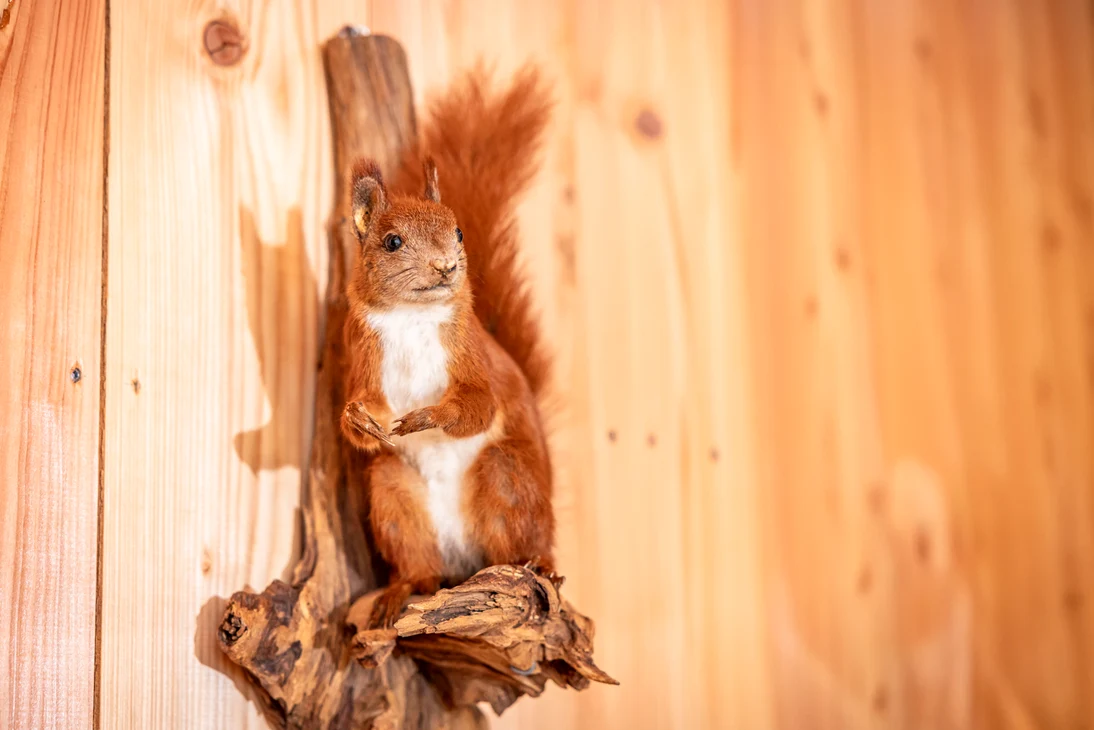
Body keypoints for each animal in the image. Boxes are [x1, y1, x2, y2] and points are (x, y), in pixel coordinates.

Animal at [339, 68, 556, 628]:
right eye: (392, 242)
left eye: (458, 231)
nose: (446, 267)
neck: (412, 317)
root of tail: (464, 563)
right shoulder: (364, 357)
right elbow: (362, 413)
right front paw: (356, 418)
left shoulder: (472, 355)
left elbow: (479, 405)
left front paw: (428, 417)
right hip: (394, 496)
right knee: (420, 566)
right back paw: (401, 590)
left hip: (508, 482)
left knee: (518, 544)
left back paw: (539, 566)